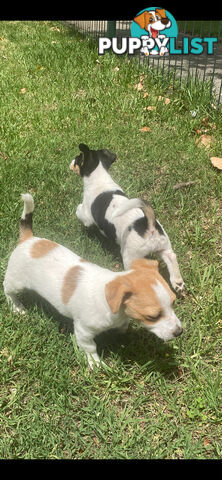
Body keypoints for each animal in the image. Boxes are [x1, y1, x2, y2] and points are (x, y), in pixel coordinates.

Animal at [3, 193, 183, 370]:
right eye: (153, 316)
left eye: (173, 303)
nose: (179, 332)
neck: (112, 306)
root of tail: (28, 239)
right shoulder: (84, 331)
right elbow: (90, 348)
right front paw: (95, 363)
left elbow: (123, 326)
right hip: (16, 281)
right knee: (8, 291)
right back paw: (16, 307)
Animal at [70, 143, 185, 292]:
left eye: (78, 159)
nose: (71, 162)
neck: (100, 177)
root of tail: (149, 224)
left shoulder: (87, 216)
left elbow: (79, 211)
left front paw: (76, 209)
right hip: (164, 245)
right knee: (171, 257)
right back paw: (178, 283)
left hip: (131, 256)